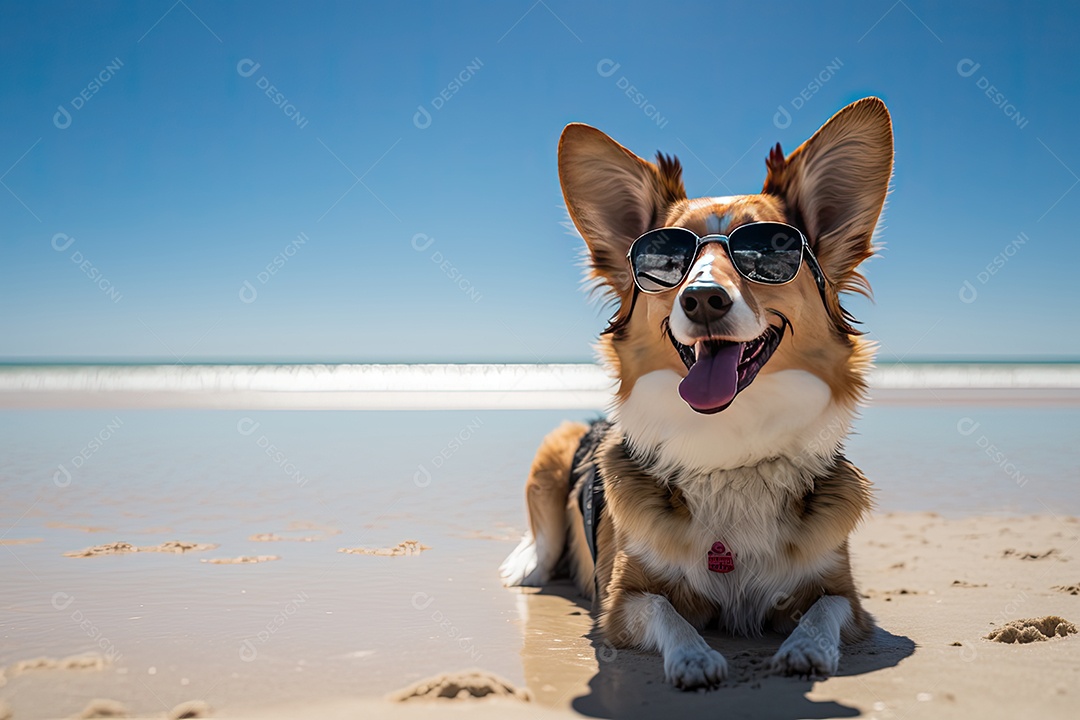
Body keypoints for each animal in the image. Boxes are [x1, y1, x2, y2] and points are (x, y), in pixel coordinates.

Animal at [501, 98, 889, 690]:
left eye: (770, 253)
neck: (731, 445)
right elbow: (667, 611)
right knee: (543, 544)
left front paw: (805, 649)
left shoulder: (843, 593)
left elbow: (824, 610)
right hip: (553, 447)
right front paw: (694, 657)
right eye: (666, 261)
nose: (703, 298)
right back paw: (526, 565)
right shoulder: (624, 599)